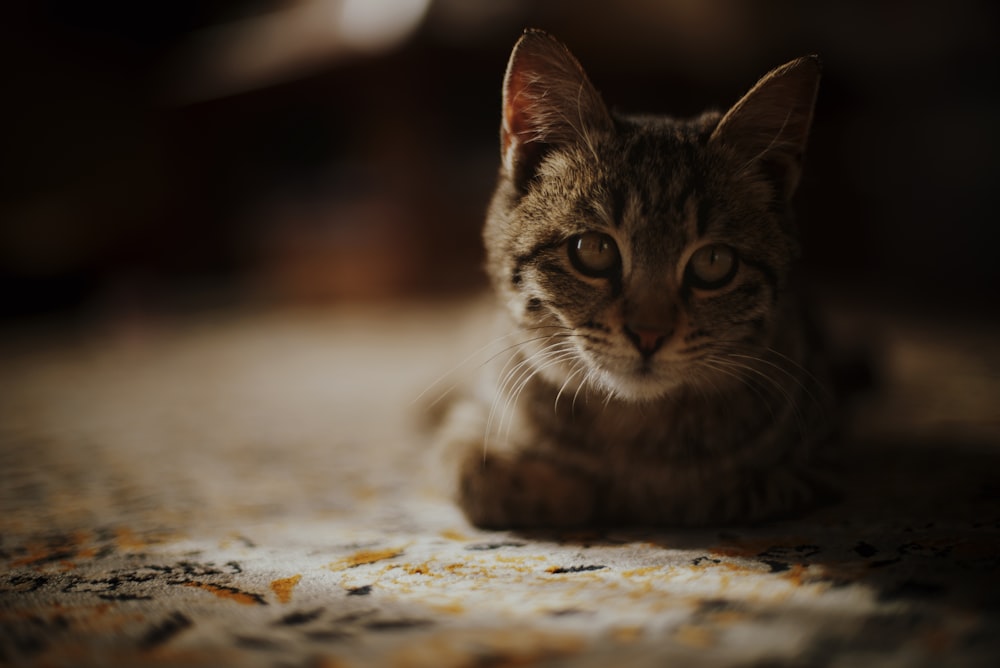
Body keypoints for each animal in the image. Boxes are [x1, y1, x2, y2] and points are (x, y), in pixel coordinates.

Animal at [434, 31, 832, 528]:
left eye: (714, 262)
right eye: (593, 250)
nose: (649, 335)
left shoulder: (816, 461)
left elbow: (723, 491)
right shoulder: (471, 420)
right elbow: (477, 473)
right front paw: (577, 492)